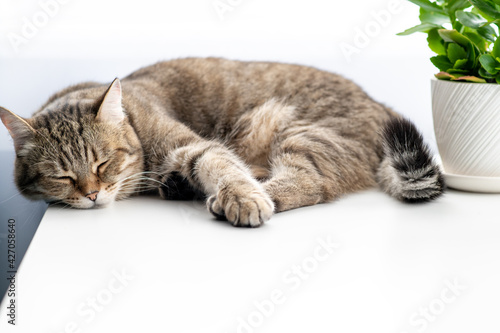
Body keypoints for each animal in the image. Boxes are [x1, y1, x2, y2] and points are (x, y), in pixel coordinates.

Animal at [0, 58, 446, 227]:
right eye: (62, 176)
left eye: (103, 163)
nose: (92, 195)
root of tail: (380, 104)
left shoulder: (192, 145)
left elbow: (221, 164)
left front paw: (242, 197)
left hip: (304, 133)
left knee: (311, 184)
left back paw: (253, 194)